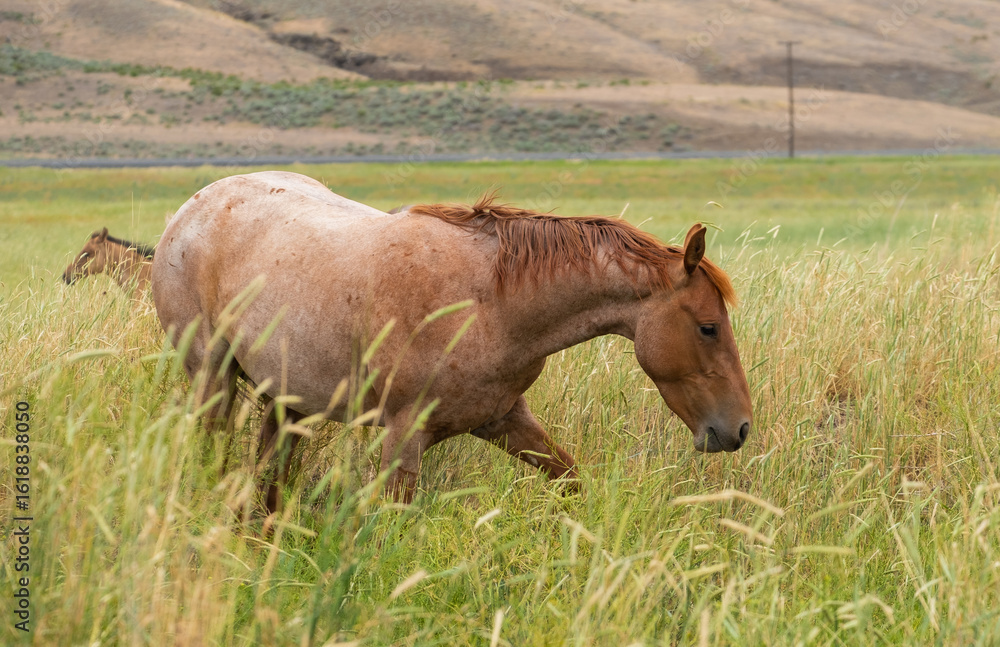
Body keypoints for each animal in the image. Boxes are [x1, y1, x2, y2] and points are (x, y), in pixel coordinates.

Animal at [151, 171, 752, 511]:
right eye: (708, 327)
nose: (739, 428)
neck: (492, 305)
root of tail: (190, 208)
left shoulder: (505, 419)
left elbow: (571, 481)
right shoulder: (402, 439)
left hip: (285, 400)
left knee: (270, 477)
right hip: (212, 380)